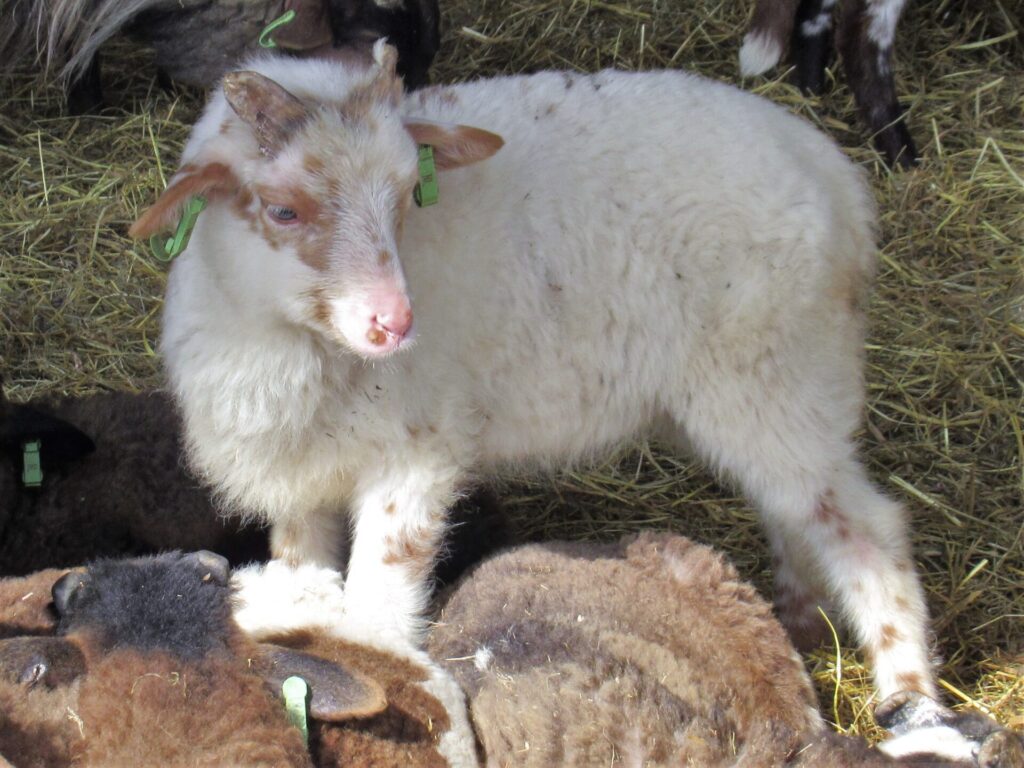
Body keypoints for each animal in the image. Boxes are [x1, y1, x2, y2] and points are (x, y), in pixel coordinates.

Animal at [134, 40, 937, 704]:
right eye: (282, 211)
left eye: (406, 196)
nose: (395, 323)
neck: (283, 341)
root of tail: (837, 178)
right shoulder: (300, 476)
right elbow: (306, 570)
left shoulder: (416, 455)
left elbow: (377, 603)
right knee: (797, 510)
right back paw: (801, 620)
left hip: (779, 374)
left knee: (868, 528)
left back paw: (908, 693)